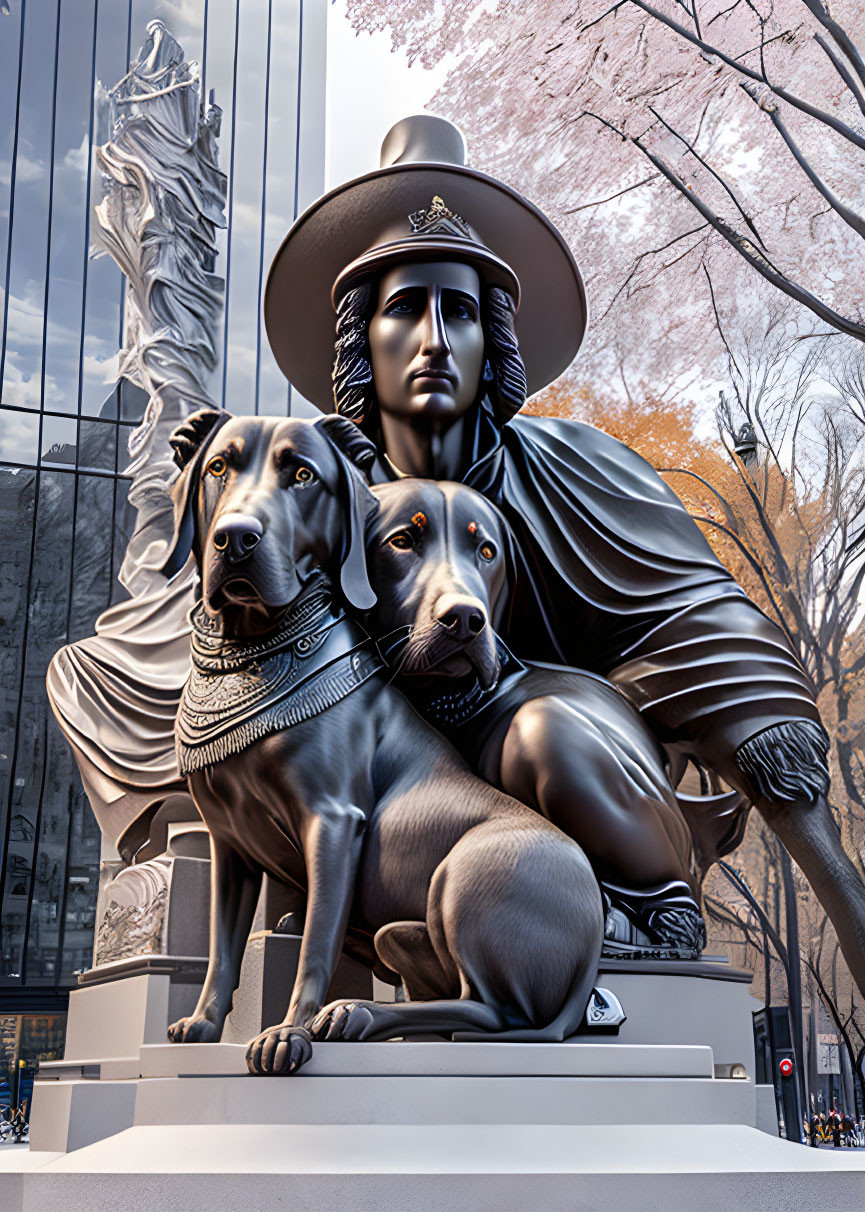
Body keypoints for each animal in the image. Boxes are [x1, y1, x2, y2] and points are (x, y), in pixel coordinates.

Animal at [159, 412, 600, 1076]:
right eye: (218, 467)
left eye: (303, 474)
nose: (235, 538)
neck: (248, 653)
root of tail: (592, 952)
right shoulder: (228, 843)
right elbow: (221, 949)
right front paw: (205, 1024)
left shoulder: (334, 822)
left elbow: (315, 942)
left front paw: (287, 1034)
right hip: (403, 931)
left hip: (466, 874)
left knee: (494, 1011)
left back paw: (356, 1015)